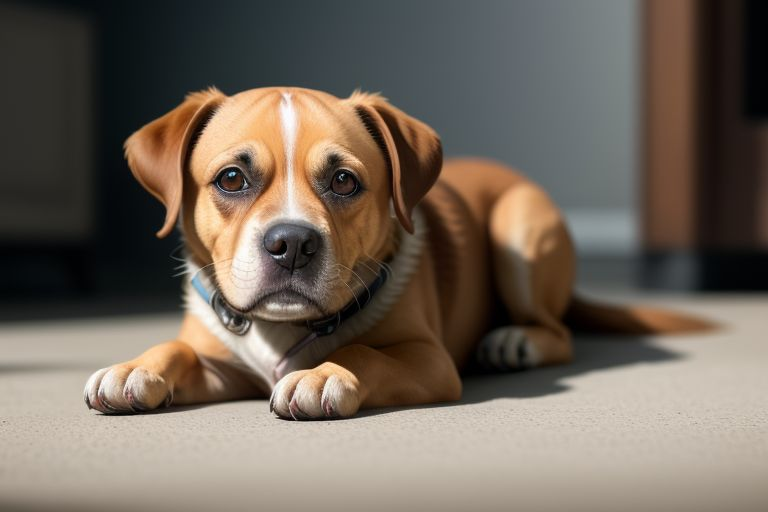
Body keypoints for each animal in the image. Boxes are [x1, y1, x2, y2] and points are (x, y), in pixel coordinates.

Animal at [82, 86, 708, 418]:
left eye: (344, 181)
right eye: (232, 178)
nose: (291, 244)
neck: (283, 331)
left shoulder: (428, 360)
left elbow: (366, 354)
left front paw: (324, 374)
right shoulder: (221, 363)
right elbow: (177, 350)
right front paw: (136, 367)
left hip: (519, 230)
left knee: (558, 331)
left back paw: (514, 340)